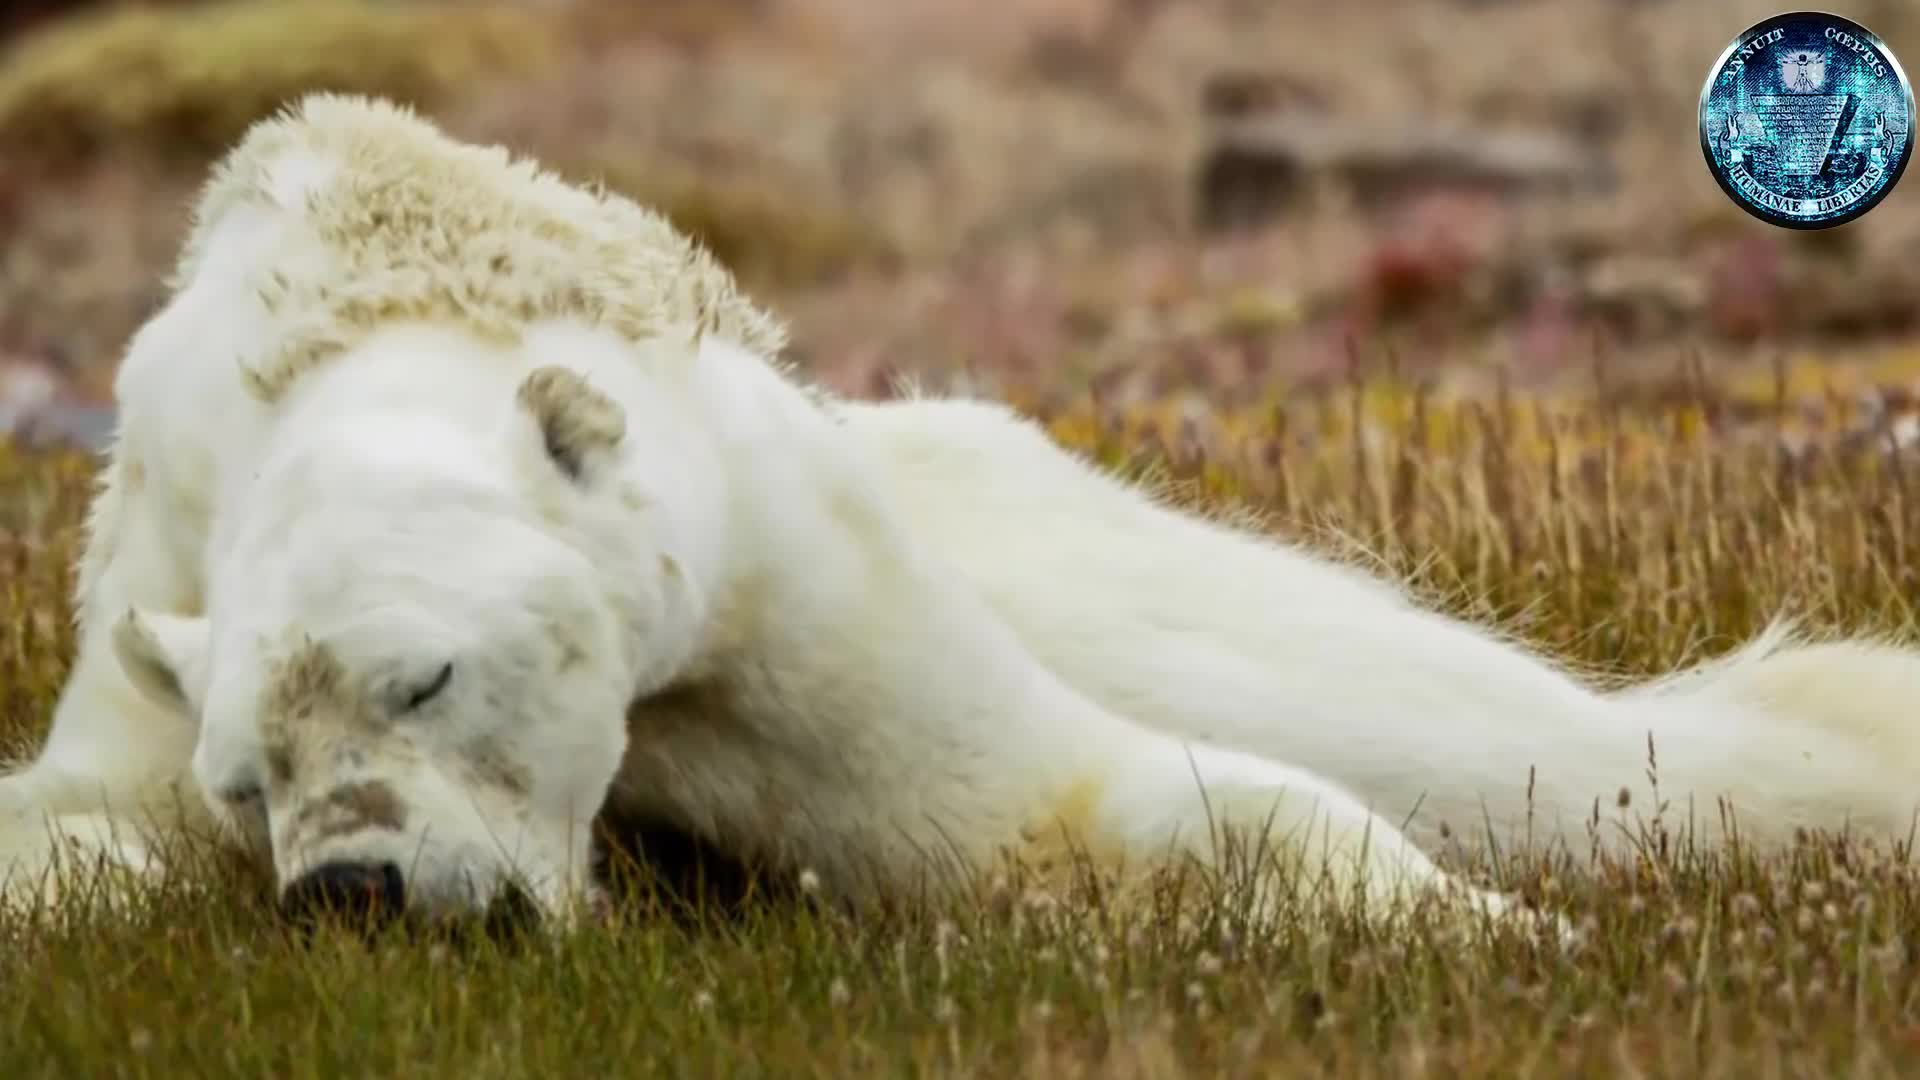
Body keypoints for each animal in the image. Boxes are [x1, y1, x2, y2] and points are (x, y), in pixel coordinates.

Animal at [0, 94, 1912, 933]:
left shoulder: (776, 595)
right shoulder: (155, 582)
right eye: (244, 780)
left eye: (423, 678)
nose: (357, 889)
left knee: (1498, 744)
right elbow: (78, 842)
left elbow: (1056, 796)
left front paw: (1496, 939)